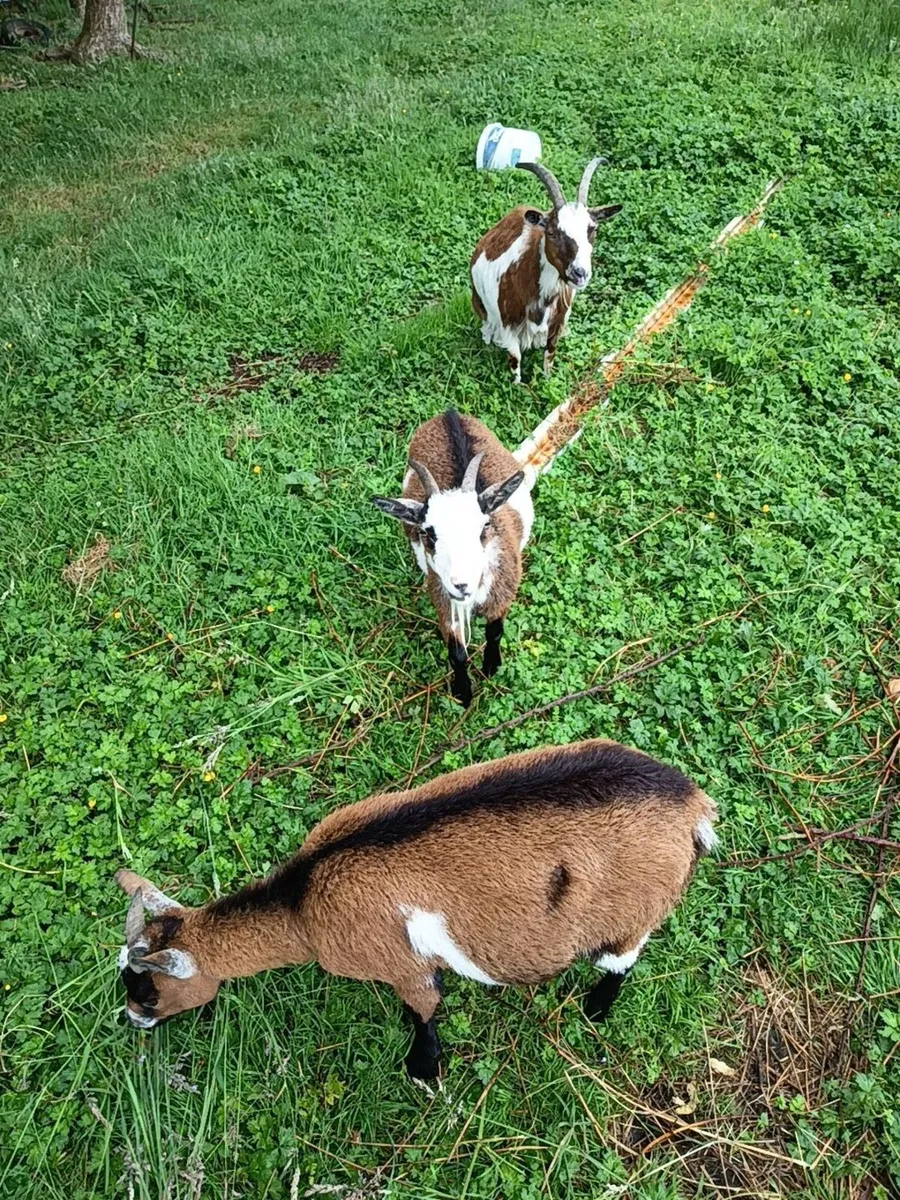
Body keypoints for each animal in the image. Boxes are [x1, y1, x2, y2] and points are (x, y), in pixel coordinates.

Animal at [116, 738, 716, 1081]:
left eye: (149, 991)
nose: (130, 1020)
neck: (303, 901)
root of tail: (693, 806)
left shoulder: (400, 963)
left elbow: (423, 1011)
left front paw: (422, 1071)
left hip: (633, 910)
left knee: (622, 958)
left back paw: (595, 1007)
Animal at [371, 408, 532, 707]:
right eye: (427, 532)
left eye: (484, 525)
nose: (461, 584)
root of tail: (449, 414)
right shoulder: (442, 596)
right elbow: (456, 652)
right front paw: (463, 694)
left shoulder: (504, 592)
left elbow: (495, 632)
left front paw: (491, 667)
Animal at [470, 158, 621, 382]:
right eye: (551, 232)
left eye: (593, 229)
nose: (580, 273)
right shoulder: (508, 327)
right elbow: (515, 361)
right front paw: (517, 387)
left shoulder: (557, 323)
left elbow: (549, 354)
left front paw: (547, 380)